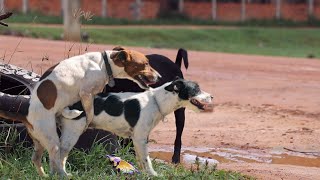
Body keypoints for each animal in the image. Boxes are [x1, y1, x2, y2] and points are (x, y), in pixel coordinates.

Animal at [57, 77, 214, 176]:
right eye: (196, 89)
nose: (212, 96)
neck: (156, 101)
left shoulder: (137, 140)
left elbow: (141, 160)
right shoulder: (140, 138)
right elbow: (146, 160)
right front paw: (153, 174)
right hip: (72, 133)